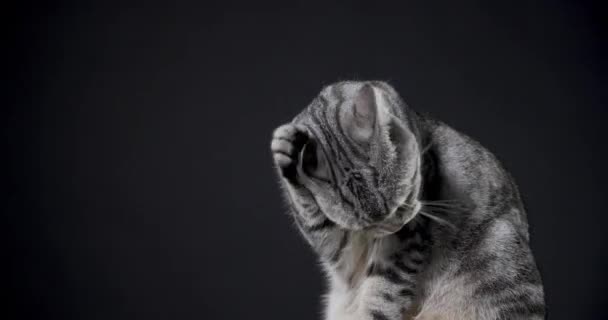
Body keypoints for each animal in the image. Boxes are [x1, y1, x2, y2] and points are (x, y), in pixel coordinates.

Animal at [270, 80, 548, 320]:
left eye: (403, 198)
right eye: (367, 223)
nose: (395, 225)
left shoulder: (407, 243)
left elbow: (383, 298)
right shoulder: (338, 244)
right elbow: (309, 212)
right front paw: (287, 153)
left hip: (499, 250)